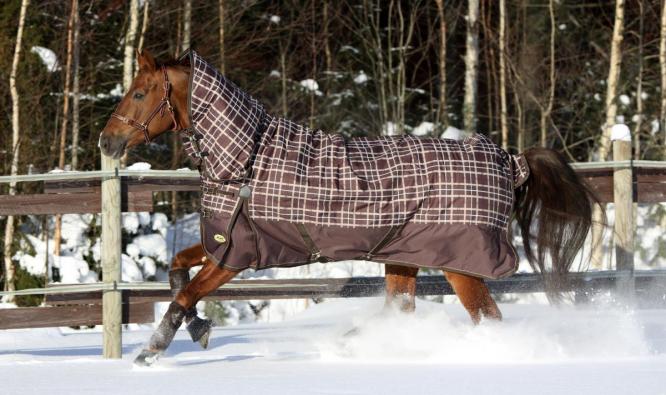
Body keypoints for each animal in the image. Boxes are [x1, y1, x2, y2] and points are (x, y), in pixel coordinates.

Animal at [98, 50, 592, 368]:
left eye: (139, 93)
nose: (107, 142)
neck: (247, 159)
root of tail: (509, 160)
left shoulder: (235, 257)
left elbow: (184, 295)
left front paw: (151, 351)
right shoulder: (224, 241)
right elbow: (176, 270)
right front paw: (199, 330)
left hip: (460, 265)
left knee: (487, 319)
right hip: (403, 255)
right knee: (402, 309)